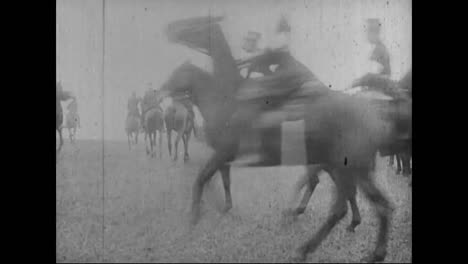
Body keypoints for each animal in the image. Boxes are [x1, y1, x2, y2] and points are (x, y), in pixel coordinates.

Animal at [161, 16, 410, 262]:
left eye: (194, 25)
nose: (170, 30)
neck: (226, 97)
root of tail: (373, 112)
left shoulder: (223, 152)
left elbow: (201, 179)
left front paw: (194, 216)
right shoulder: (223, 156)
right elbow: (221, 180)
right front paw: (220, 206)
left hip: (347, 167)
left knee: (350, 205)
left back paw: (308, 247)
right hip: (345, 167)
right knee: (368, 203)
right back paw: (366, 245)